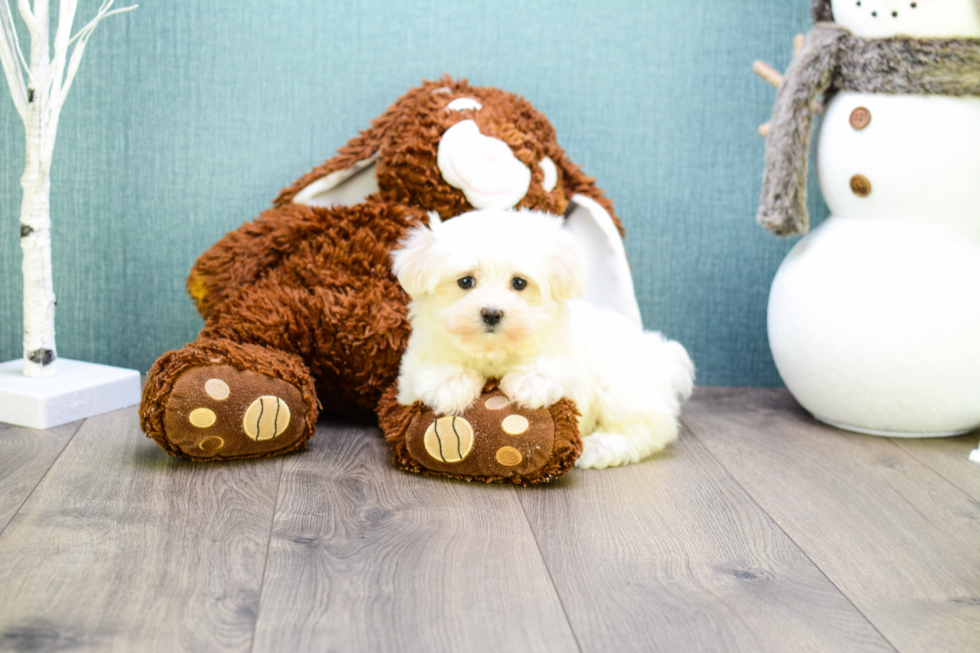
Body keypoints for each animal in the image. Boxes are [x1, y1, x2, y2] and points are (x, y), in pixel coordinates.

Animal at [386, 209, 692, 468]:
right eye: (465, 281)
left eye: (519, 283)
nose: (492, 313)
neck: (494, 351)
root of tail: (660, 357)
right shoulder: (413, 365)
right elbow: (425, 371)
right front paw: (452, 384)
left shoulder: (569, 361)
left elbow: (555, 368)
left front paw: (527, 383)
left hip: (622, 386)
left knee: (649, 428)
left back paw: (599, 447)